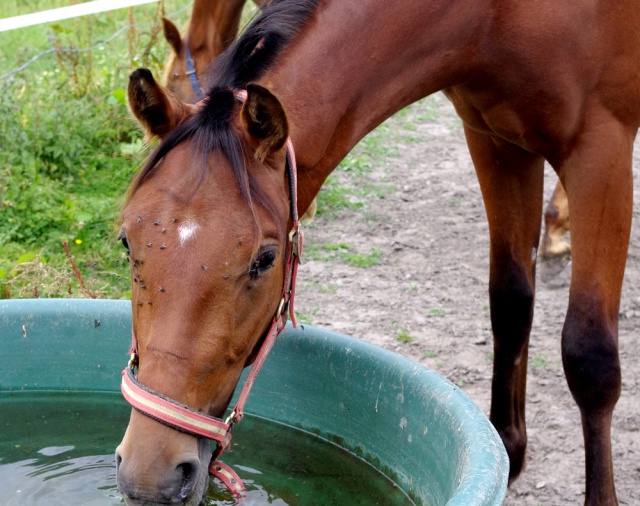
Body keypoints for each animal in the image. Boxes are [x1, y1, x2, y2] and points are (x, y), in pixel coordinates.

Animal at [116, 1, 640, 504]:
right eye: (126, 242)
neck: (495, 16)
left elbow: (590, 357)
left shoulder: (601, 149)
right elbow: (511, 306)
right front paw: (509, 454)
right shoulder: (497, 144)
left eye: (264, 261)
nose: (151, 471)